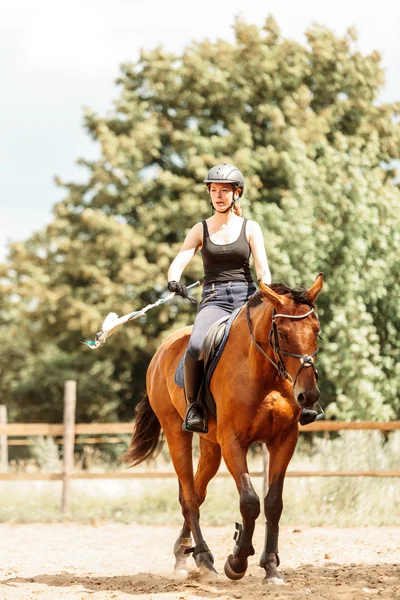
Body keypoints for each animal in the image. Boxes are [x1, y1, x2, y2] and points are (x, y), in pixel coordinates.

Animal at [122, 276, 322, 584]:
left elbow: (273, 503)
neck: (265, 373)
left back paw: (183, 553)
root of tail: (162, 350)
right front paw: (237, 561)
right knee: (189, 496)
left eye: (316, 331)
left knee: (197, 491)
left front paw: (271, 567)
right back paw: (204, 559)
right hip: (176, 432)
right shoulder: (233, 442)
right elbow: (250, 502)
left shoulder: (284, 440)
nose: (308, 396)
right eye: (283, 333)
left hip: (211, 447)